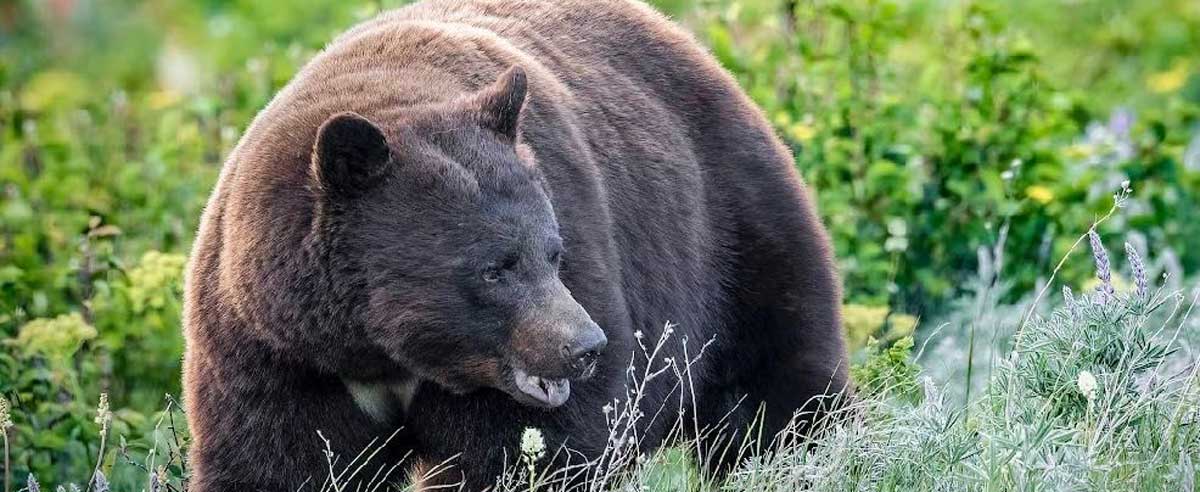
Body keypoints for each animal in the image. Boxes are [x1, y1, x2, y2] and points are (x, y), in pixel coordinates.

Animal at [182, 0, 849, 487]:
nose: (585, 347)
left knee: (777, 386)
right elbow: (282, 461)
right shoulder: (275, 354)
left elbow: (531, 448)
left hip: (730, 230)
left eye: (552, 252)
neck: (377, 351)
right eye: (493, 269)